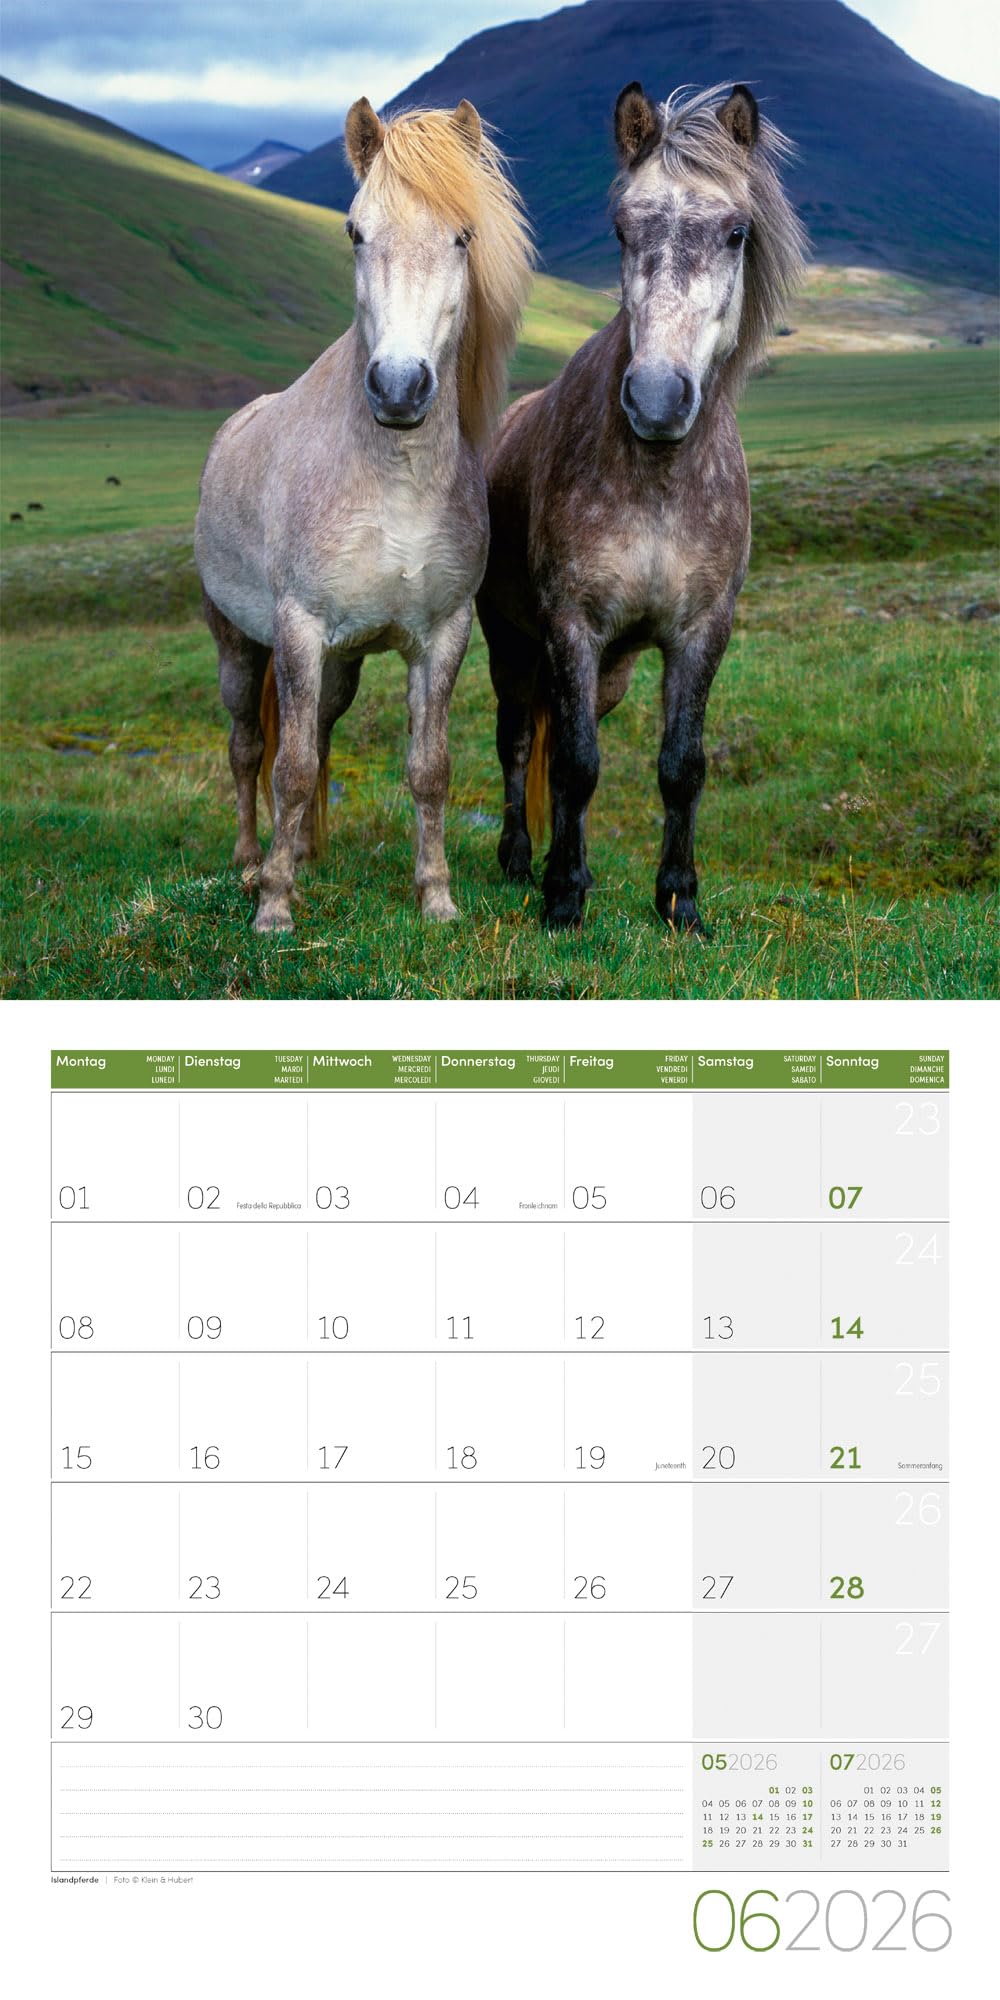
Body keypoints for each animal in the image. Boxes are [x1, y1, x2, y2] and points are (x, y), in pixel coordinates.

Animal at [195, 98, 532, 932]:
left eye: (463, 235)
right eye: (354, 231)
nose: (400, 388)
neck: (393, 483)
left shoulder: (441, 637)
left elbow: (428, 767)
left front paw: (435, 895)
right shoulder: (298, 629)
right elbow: (287, 767)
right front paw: (274, 907)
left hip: (339, 664)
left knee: (317, 731)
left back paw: (306, 853)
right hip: (238, 645)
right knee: (247, 746)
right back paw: (251, 862)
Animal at [477, 83, 805, 931]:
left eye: (736, 232)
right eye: (624, 228)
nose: (657, 398)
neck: (658, 481)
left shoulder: (701, 631)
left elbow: (680, 765)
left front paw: (679, 899)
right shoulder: (570, 626)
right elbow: (575, 764)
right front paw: (563, 895)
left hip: (614, 671)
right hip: (511, 645)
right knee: (518, 741)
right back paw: (519, 858)